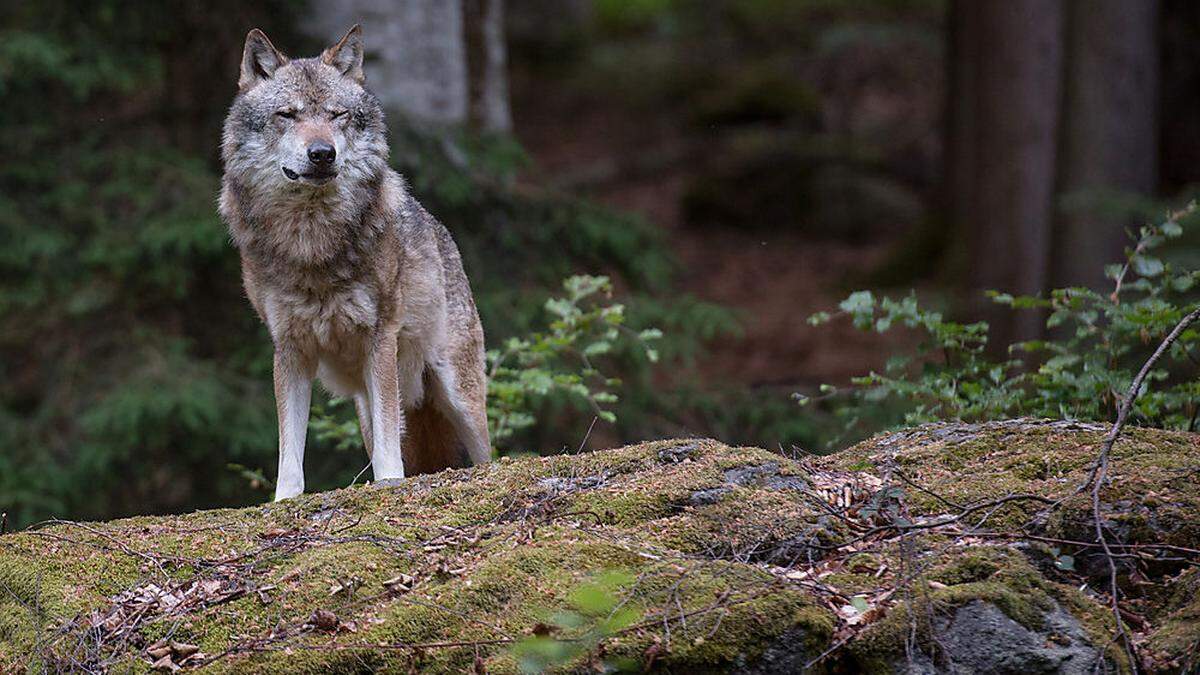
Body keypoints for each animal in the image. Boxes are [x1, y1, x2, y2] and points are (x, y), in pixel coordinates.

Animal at [220, 24, 492, 499]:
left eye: (337, 115)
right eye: (287, 115)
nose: (322, 153)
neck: (311, 241)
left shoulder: (380, 338)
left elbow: (388, 447)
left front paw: (389, 484)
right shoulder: (289, 348)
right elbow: (290, 448)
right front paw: (284, 500)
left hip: (458, 393)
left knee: (487, 455)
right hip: (367, 404)